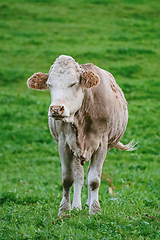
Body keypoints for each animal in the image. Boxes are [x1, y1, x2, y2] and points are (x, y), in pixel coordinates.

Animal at [26, 54, 136, 216]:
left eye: (73, 83)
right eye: (50, 84)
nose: (56, 109)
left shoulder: (101, 144)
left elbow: (94, 180)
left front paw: (95, 211)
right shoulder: (64, 143)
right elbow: (68, 179)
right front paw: (64, 210)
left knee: (90, 173)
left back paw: (89, 202)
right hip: (76, 152)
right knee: (79, 176)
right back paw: (77, 206)